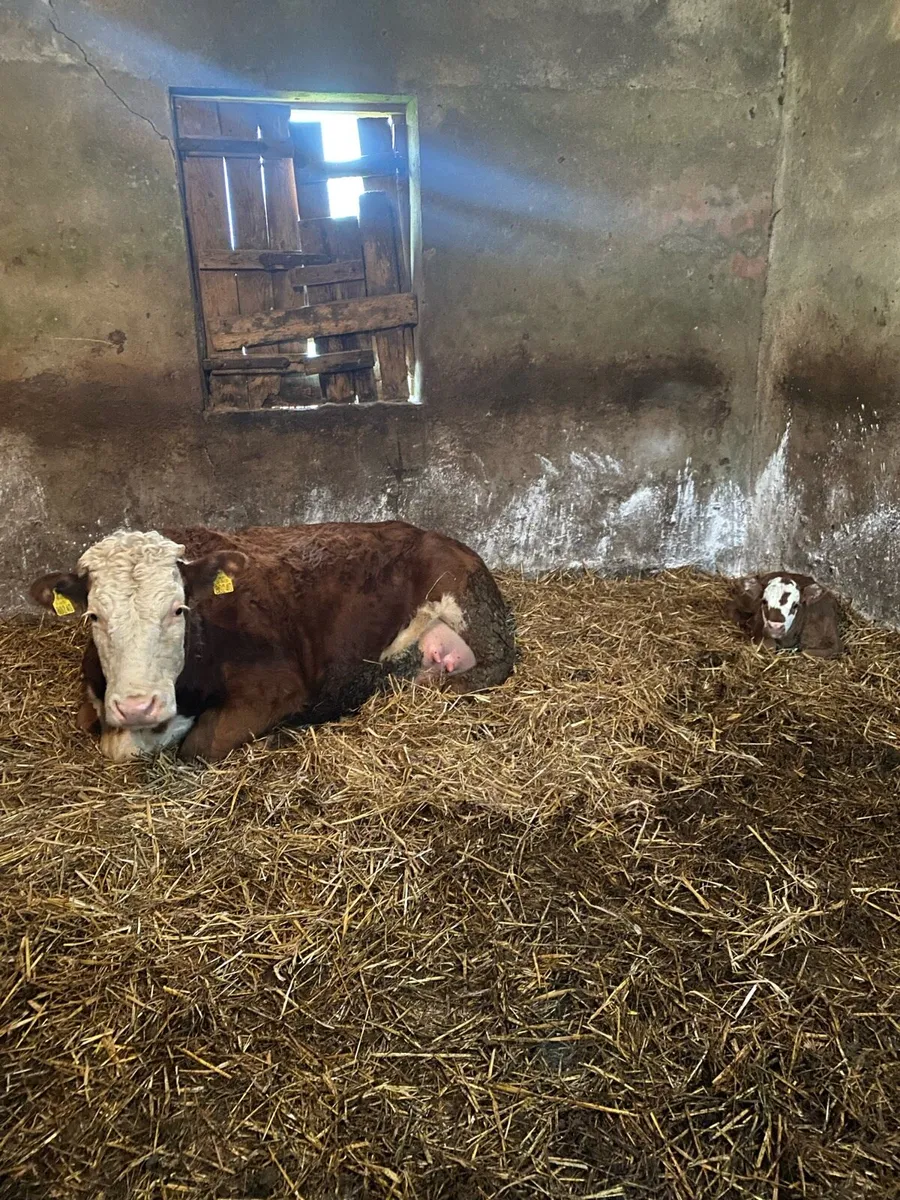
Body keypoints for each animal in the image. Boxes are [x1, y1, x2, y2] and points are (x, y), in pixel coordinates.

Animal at [29, 522, 516, 763]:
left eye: (178, 609)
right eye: (94, 615)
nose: (136, 706)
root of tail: (431, 534)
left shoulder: (277, 686)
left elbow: (199, 747)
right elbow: (87, 722)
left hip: (461, 595)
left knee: (490, 664)